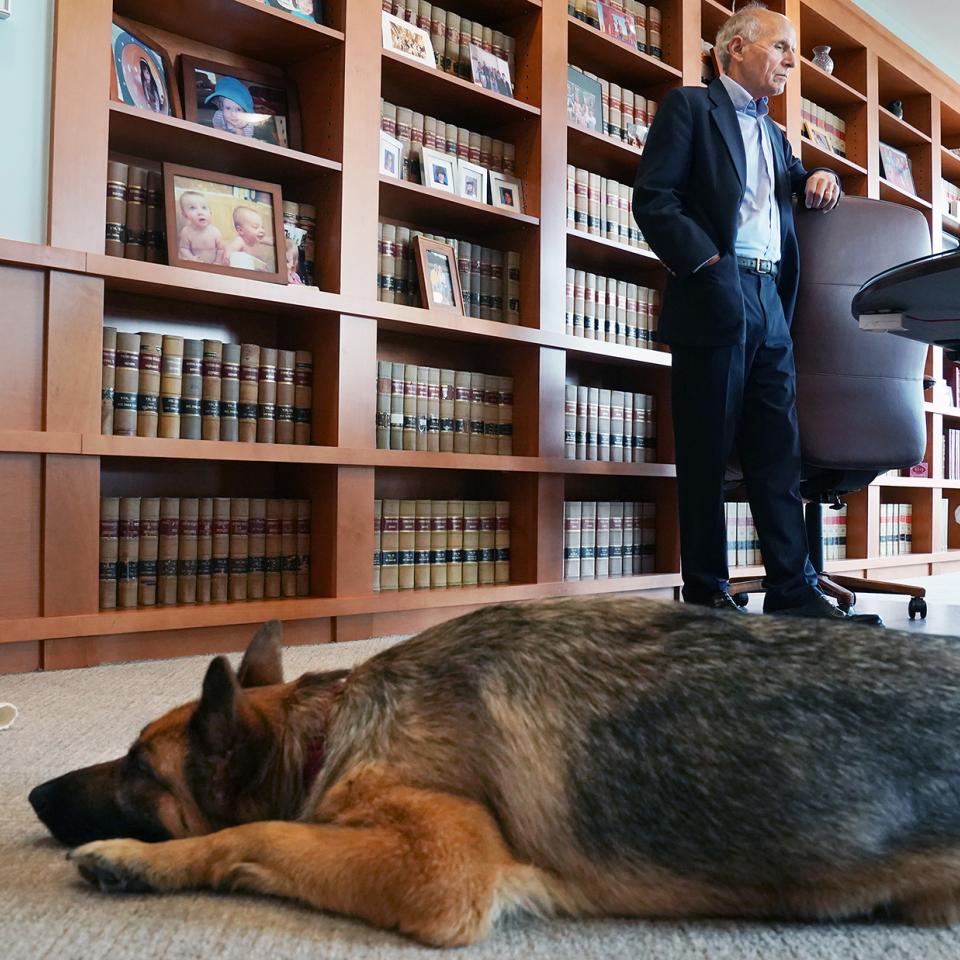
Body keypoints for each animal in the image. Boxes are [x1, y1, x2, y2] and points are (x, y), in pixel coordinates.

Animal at [28, 600, 960, 944]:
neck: (328, 728)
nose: (32, 791)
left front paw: (139, 860)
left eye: (137, 769)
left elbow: (257, 833)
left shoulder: (440, 872)